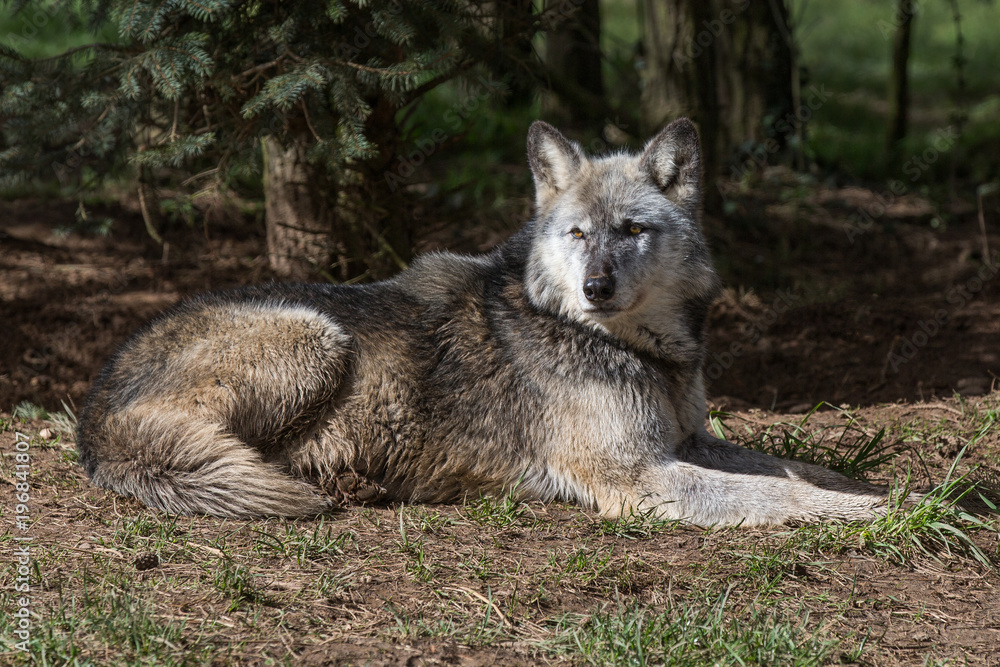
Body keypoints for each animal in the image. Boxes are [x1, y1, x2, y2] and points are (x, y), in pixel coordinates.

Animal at [76, 119, 886, 526]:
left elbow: (797, 468)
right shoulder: (640, 478)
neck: (633, 351)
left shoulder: (687, 443)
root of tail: (93, 412)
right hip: (316, 335)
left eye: (631, 229)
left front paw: (880, 492)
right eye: (577, 234)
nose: (595, 287)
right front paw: (869, 514)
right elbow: (783, 494)